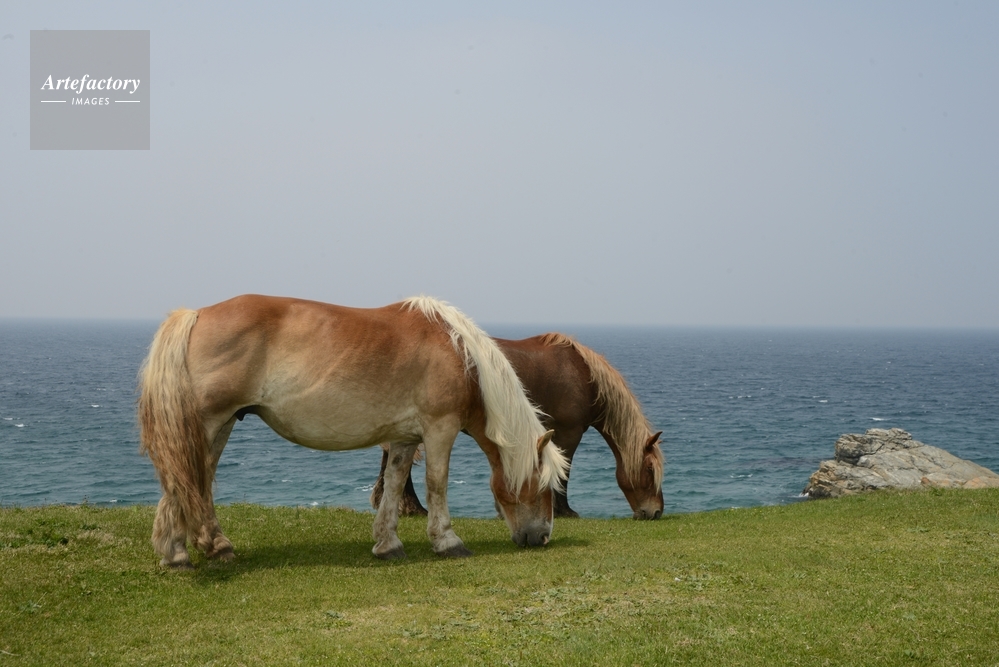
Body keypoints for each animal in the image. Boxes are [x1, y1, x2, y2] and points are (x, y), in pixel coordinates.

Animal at [138, 294, 569, 569]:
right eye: (543, 485)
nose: (544, 537)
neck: (459, 353)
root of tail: (196, 314)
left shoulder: (405, 438)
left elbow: (393, 486)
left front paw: (387, 544)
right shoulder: (439, 429)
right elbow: (437, 483)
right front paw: (447, 541)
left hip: (221, 425)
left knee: (195, 481)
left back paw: (196, 550)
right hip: (209, 424)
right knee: (186, 481)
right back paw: (185, 552)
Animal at [372, 332, 664, 520]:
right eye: (650, 469)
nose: (656, 512)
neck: (585, 377)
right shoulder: (569, 433)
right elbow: (565, 470)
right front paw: (564, 510)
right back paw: (411, 507)